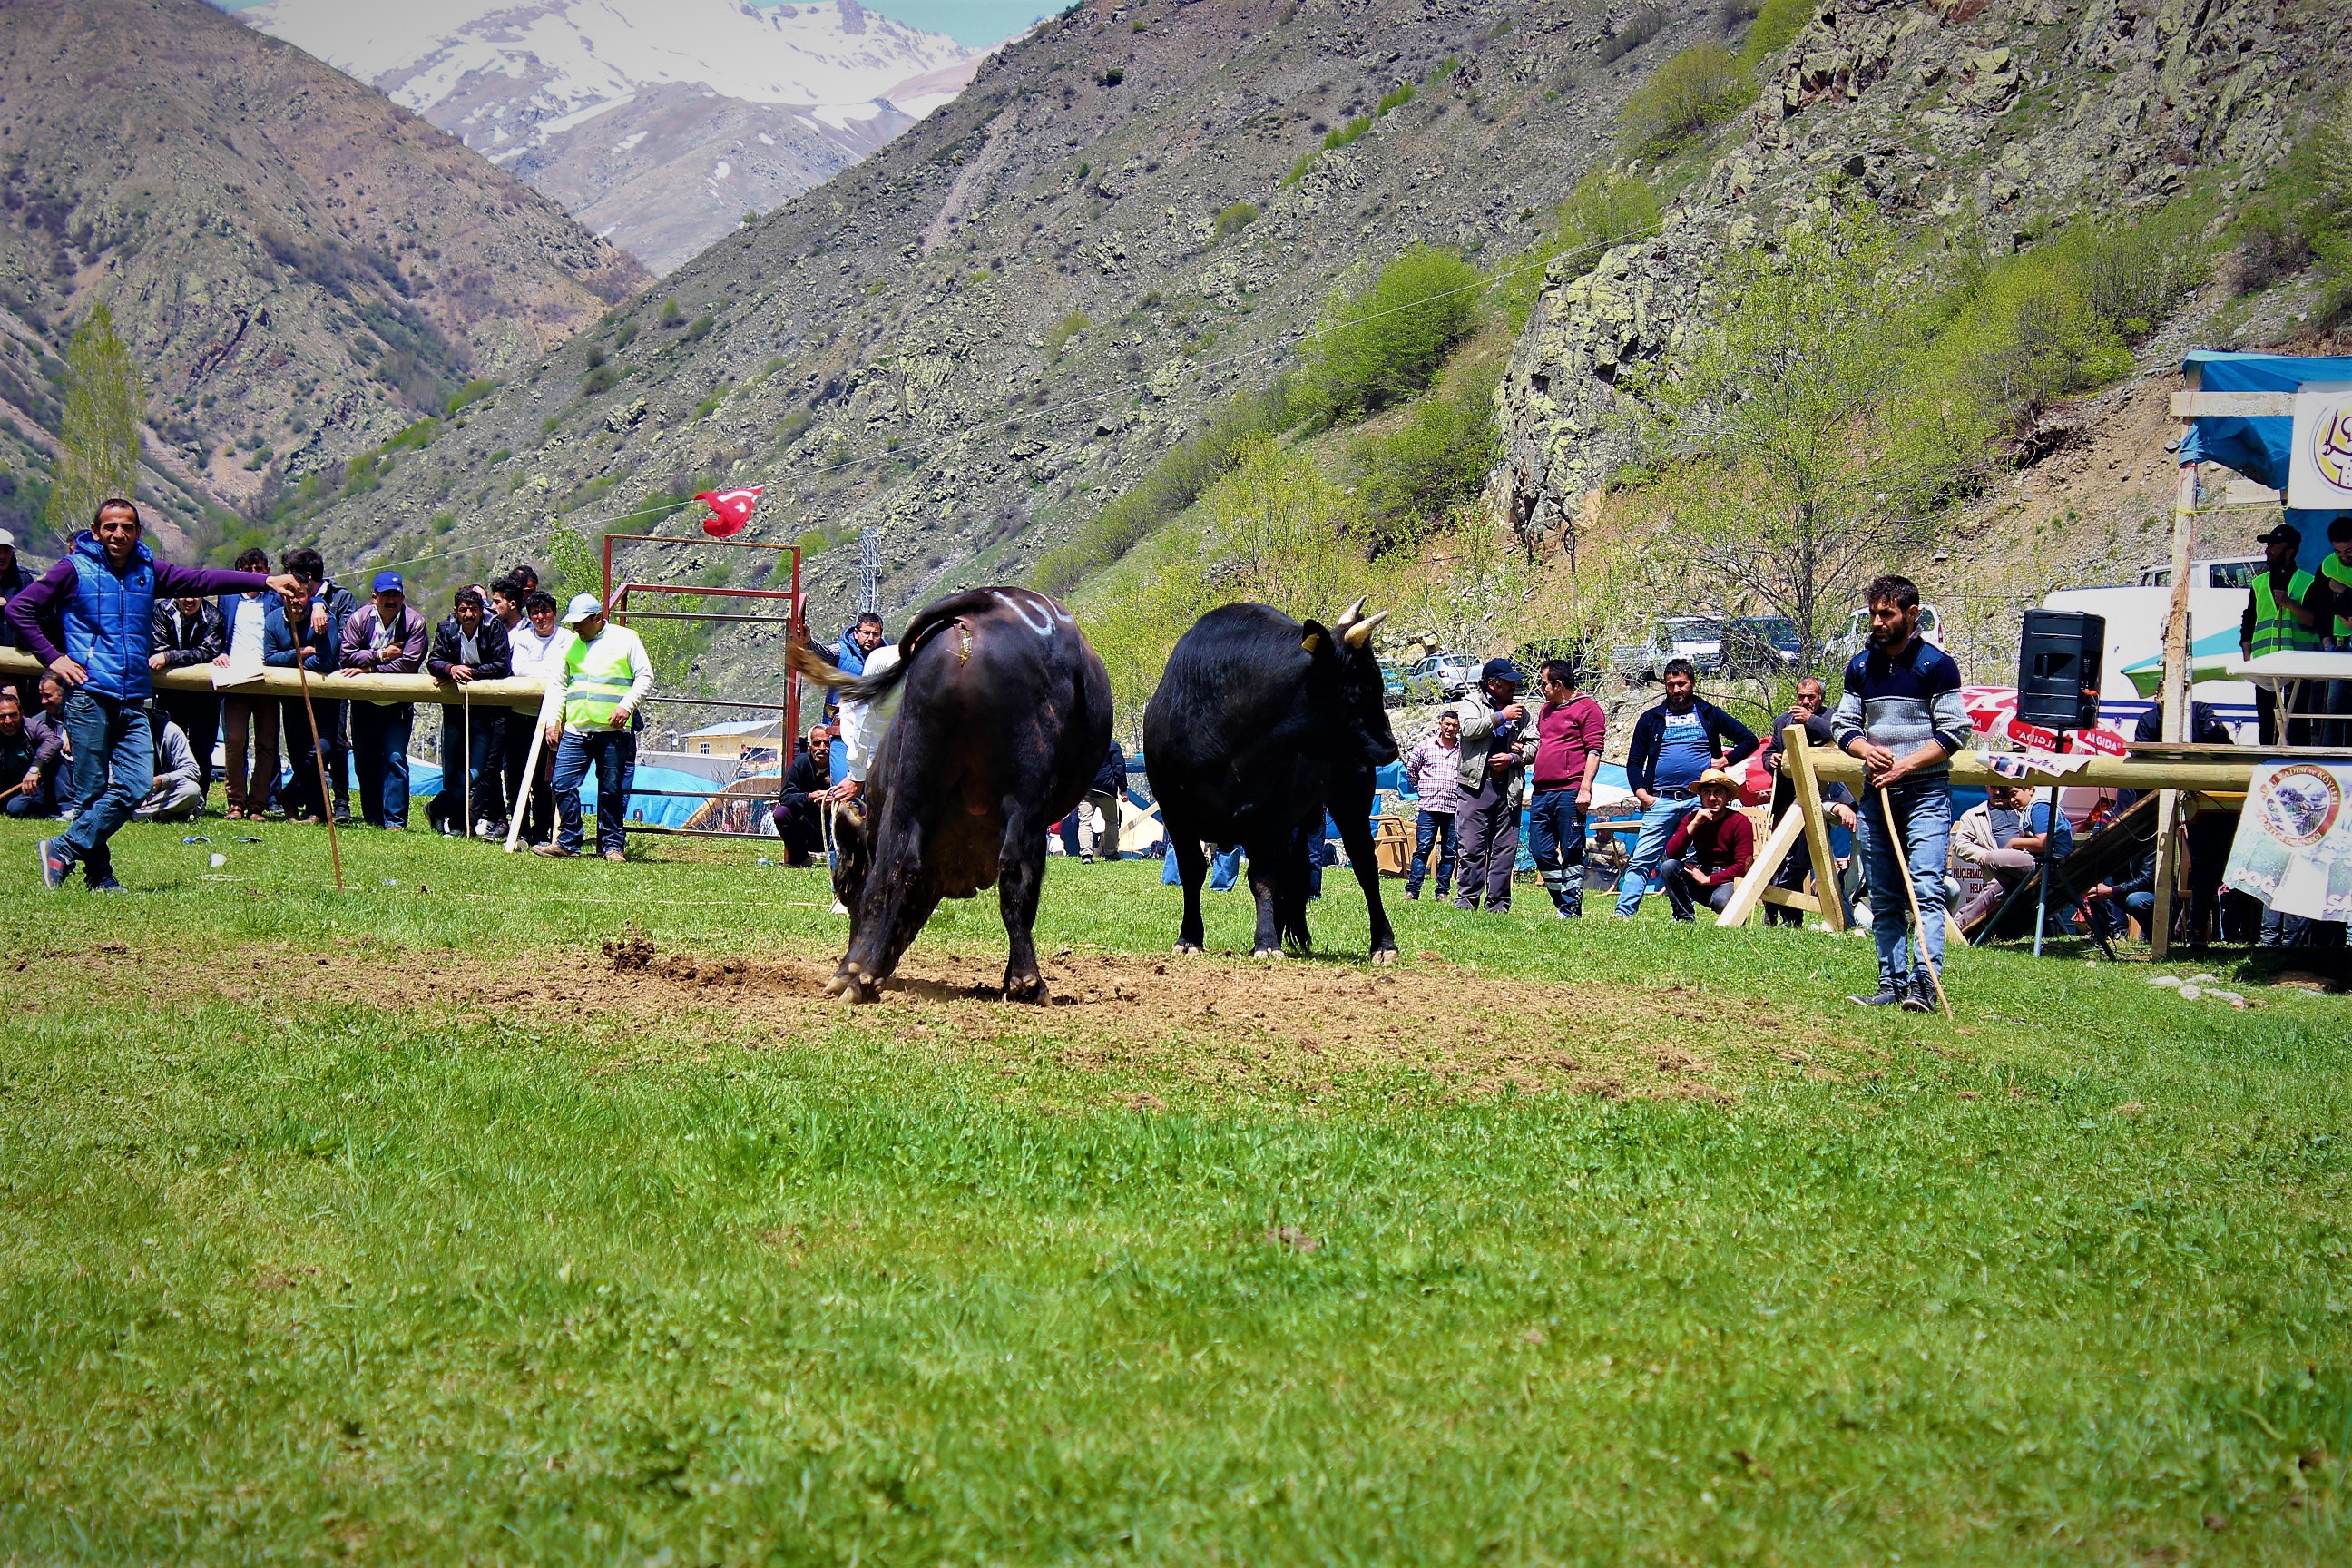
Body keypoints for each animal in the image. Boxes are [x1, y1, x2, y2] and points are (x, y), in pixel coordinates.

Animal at [789, 587, 1110, 1005]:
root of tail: (986, 603)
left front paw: (852, 972)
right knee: (1016, 871)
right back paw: (1029, 981)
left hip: (919, 772)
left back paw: (862, 979)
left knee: (900, 865)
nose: (851, 962)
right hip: (1025, 791)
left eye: (845, 889)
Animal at [1138, 602, 1392, 964]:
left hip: (1352, 794)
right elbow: (1191, 871)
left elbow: (1263, 879)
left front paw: (1267, 943)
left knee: (1365, 864)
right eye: (1365, 687)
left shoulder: (1272, 816)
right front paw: (1189, 938)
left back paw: (1383, 945)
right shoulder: (1173, 809)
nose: (1391, 746)